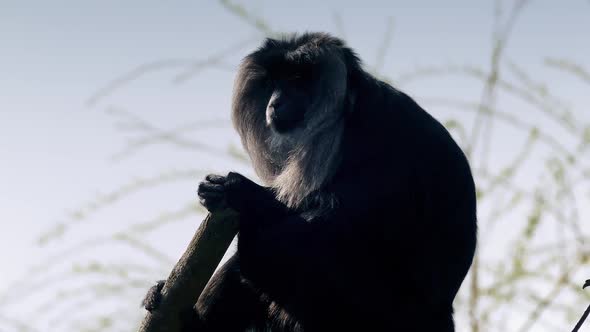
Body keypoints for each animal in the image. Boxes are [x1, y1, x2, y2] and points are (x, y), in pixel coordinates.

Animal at [145, 31, 480, 332]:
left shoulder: (380, 139)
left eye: (296, 79)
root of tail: (441, 318)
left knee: (275, 245)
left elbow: (334, 224)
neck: (348, 113)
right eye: (272, 84)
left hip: (375, 311)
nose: (274, 103)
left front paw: (240, 190)